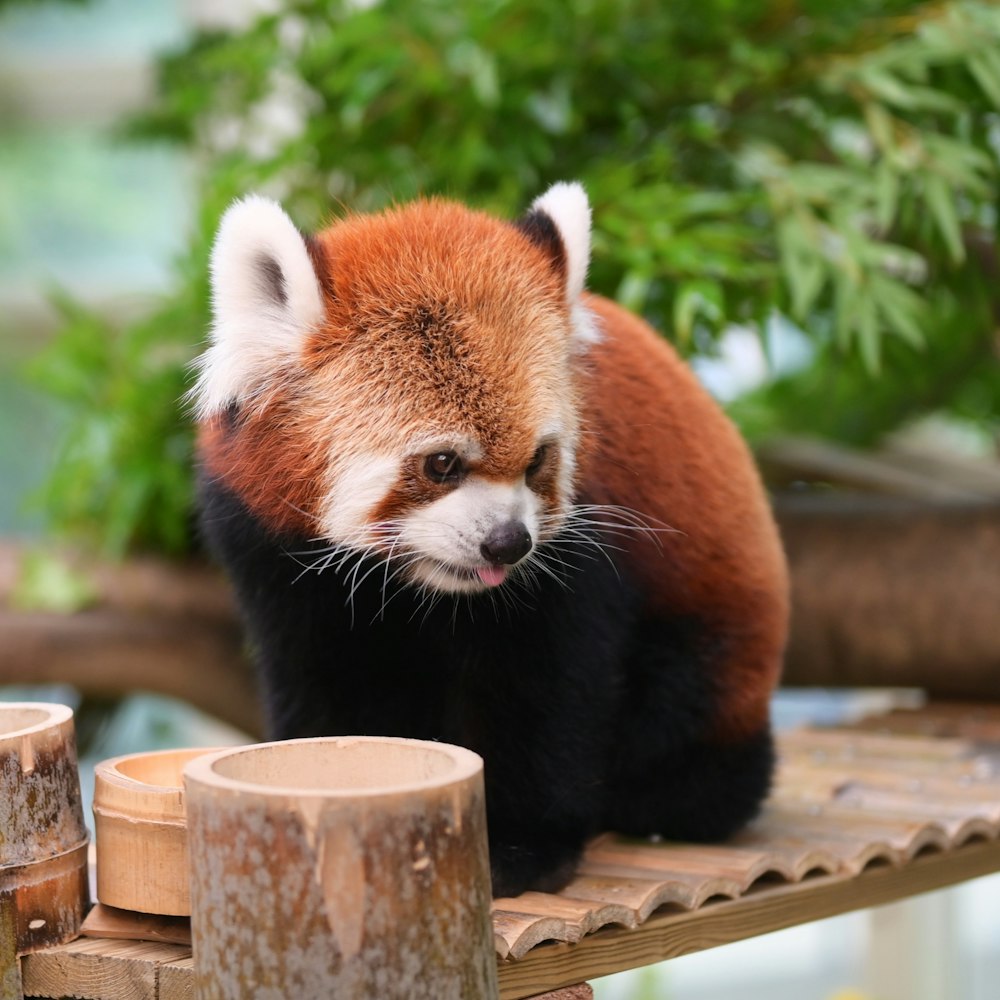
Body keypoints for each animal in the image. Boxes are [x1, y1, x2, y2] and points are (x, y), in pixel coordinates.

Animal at [195, 182, 788, 900]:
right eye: (442, 464)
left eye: (537, 460)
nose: (508, 543)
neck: (418, 587)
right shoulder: (274, 550)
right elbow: (325, 676)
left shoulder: (580, 556)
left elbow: (543, 692)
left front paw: (518, 844)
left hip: (714, 646)